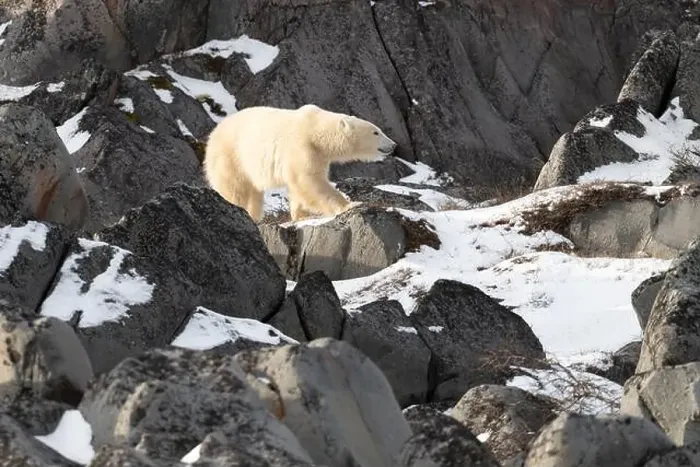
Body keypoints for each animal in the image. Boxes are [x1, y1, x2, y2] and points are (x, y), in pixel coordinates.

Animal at [202, 104, 398, 222]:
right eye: (376, 132)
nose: (394, 145)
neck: (316, 130)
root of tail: (213, 134)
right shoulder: (301, 146)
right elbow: (309, 181)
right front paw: (351, 204)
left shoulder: (319, 155)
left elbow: (300, 185)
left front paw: (300, 215)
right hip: (231, 155)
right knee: (234, 189)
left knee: (254, 194)